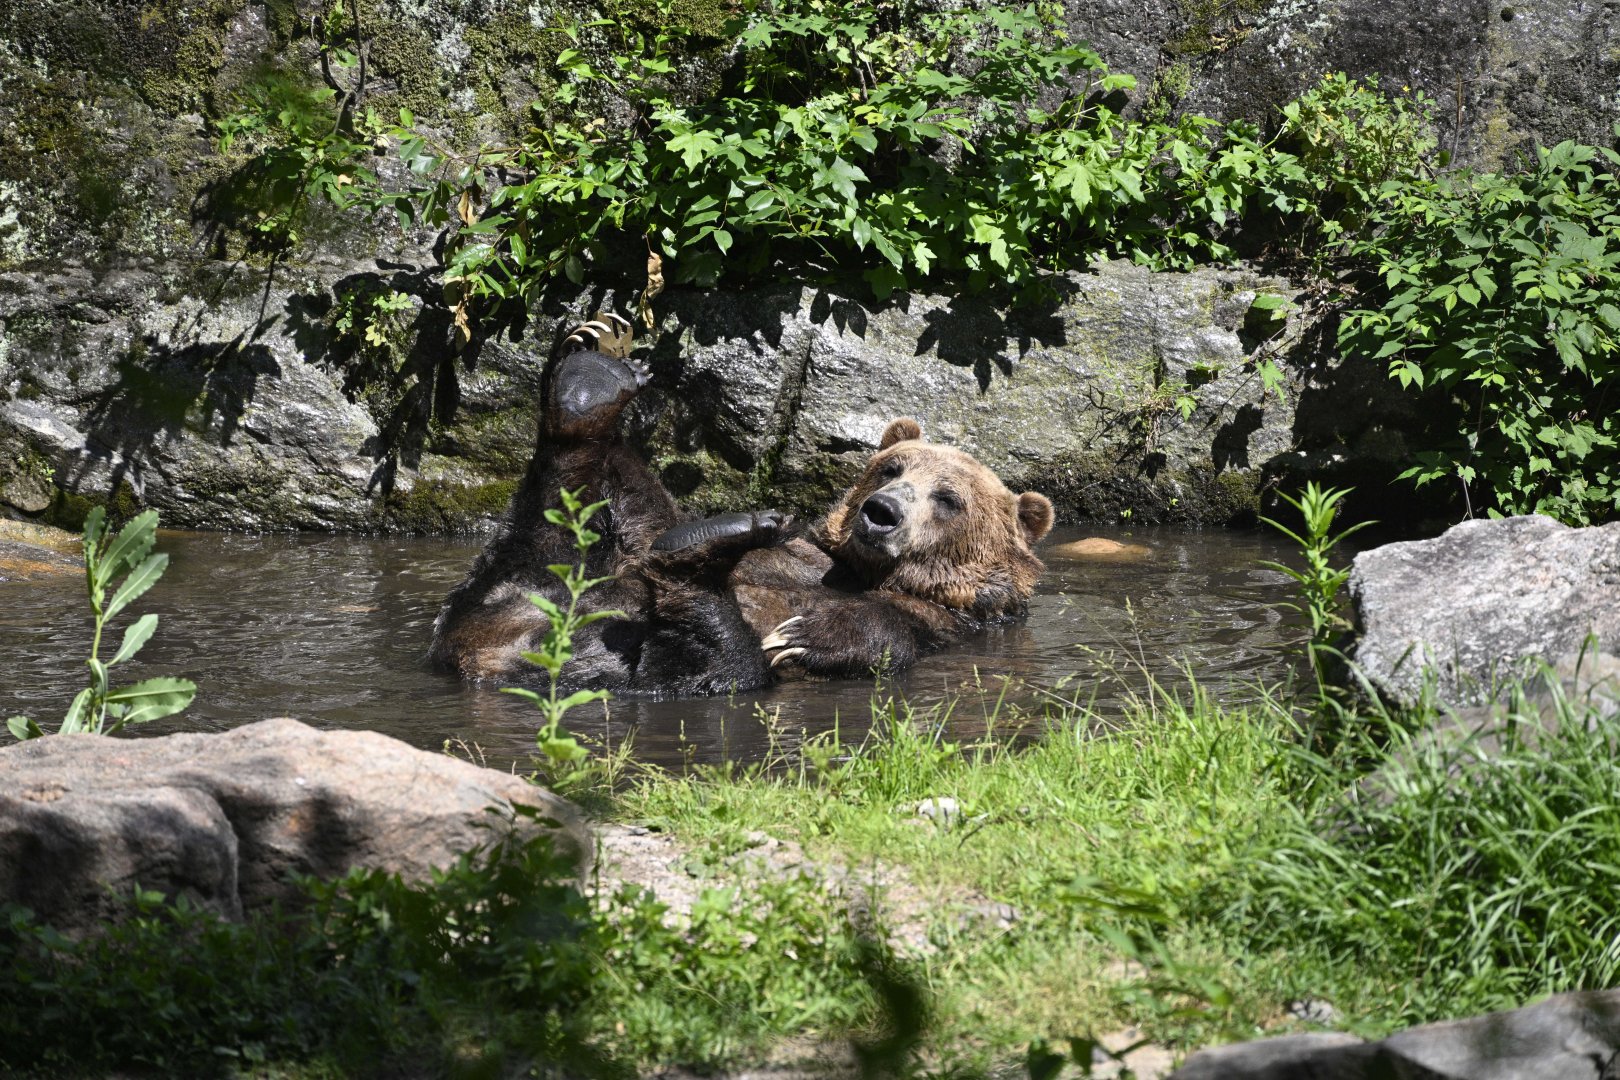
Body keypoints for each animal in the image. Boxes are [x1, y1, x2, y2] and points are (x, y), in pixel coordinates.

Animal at [428, 314, 1055, 693]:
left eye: (948, 498)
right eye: (891, 468)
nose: (882, 511)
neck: (865, 570)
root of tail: (488, 655)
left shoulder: (957, 620)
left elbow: (889, 633)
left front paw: (804, 633)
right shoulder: (805, 551)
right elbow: (648, 519)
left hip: (646, 670)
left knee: (714, 662)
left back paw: (701, 559)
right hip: (527, 586)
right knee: (557, 530)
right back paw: (591, 375)